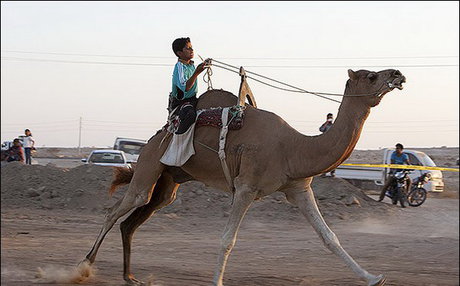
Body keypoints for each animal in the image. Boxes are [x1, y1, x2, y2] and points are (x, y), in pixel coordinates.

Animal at [79, 68, 406, 284]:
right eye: (371, 76)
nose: (398, 74)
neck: (294, 147)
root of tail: (154, 138)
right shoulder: (246, 187)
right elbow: (227, 240)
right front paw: (218, 281)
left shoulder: (299, 188)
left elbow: (330, 237)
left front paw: (373, 276)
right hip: (149, 166)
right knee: (116, 211)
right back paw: (84, 265)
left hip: (168, 183)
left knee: (132, 221)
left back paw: (130, 276)